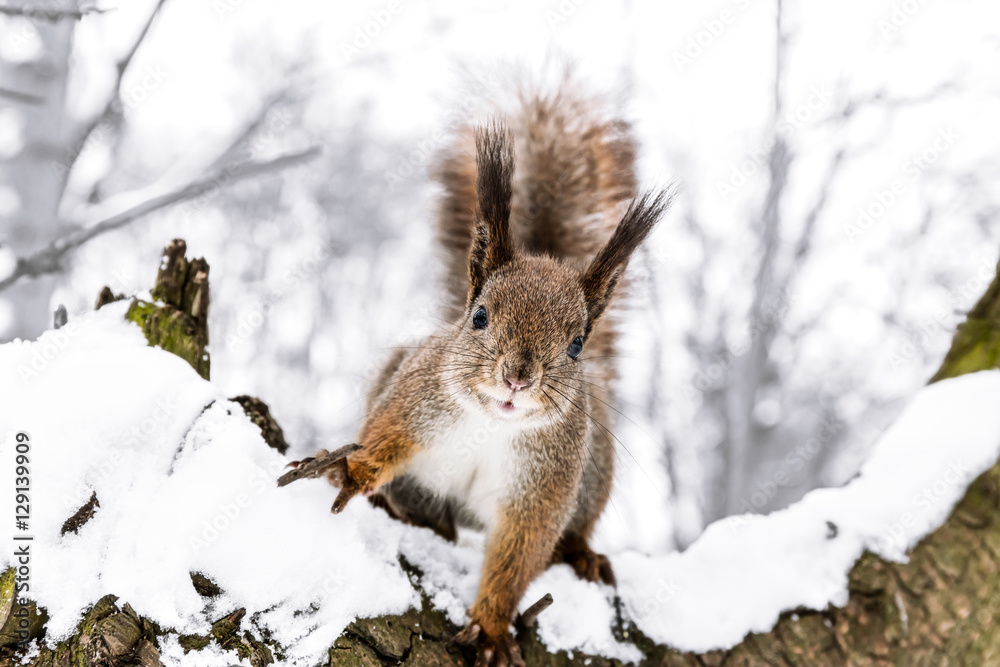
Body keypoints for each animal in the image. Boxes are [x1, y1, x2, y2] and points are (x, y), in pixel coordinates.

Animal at [283, 76, 674, 667]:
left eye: (578, 344)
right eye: (480, 316)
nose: (517, 378)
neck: (494, 422)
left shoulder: (544, 486)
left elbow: (519, 553)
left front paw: (490, 627)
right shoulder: (417, 397)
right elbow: (384, 439)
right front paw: (352, 471)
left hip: (596, 467)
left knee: (573, 532)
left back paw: (583, 555)